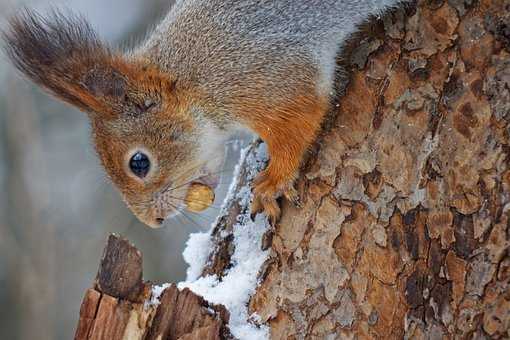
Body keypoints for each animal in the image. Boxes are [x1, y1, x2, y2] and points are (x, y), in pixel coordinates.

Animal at [2, 1, 402, 228]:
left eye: (139, 163)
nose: (154, 222)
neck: (189, 79)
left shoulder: (265, 77)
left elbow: (301, 118)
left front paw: (271, 183)